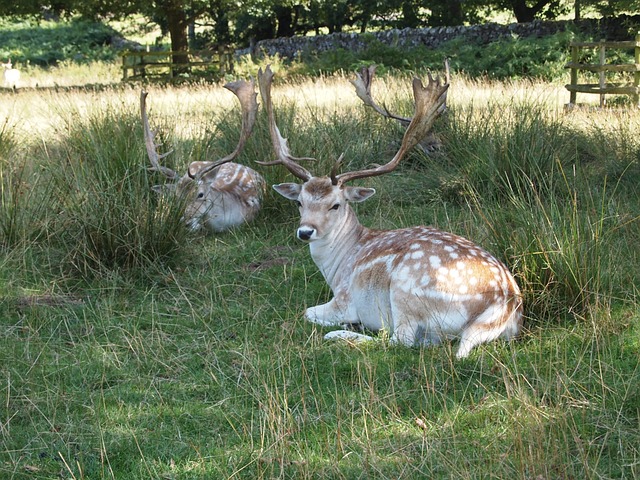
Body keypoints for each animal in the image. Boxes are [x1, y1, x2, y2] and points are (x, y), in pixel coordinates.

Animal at [258, 65, 524, 358]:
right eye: (299, 202)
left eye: (336, 204)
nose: (305, 232)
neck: (338, 265)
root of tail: (503, 305)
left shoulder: (344, 299)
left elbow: (307, 312)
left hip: (405, 291)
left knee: (400, 339)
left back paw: (340, 335)